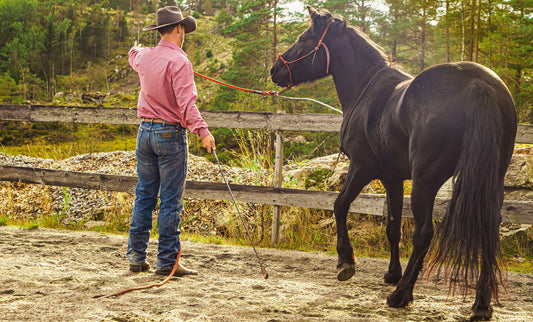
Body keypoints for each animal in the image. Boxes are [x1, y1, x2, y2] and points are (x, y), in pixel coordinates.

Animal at [270, 6, 516, 320]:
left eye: (304, 38)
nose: (275, 70)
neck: (367, 88)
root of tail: (477, 84)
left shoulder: (362, 167)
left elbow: (340, 205)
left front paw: (346, 262)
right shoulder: (393, 177)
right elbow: (393, 226)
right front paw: (391, 273)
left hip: (426, 181)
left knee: (424, 233)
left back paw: (401, 295)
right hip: (492, 179)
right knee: (488, 231)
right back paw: (481, 305)